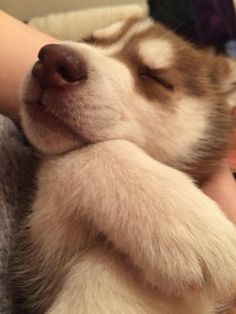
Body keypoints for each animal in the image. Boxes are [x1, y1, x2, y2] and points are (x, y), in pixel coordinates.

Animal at [13, 18, 236, 312]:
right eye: (90, 40)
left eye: (154, 77)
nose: (53, 61)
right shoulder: (40, 245)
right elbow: (76, 156)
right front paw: (190, 222)